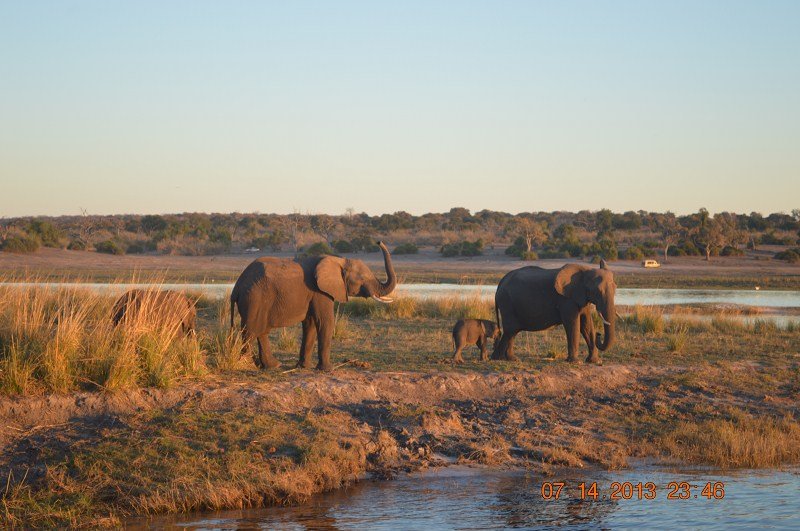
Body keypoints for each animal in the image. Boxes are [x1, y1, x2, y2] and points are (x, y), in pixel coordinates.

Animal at [230, 241, 396, 370]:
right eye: (362, 279)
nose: (378, 241)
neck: (339, 260)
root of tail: (237, 286)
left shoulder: (314, 294)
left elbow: (309, 325)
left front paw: (303, 367)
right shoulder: (320, 292)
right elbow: (325, 322)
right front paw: (327, 370)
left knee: (261, 331)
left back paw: (273, 366)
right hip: (255, 298)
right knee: (250, 331)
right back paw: (248, 365)